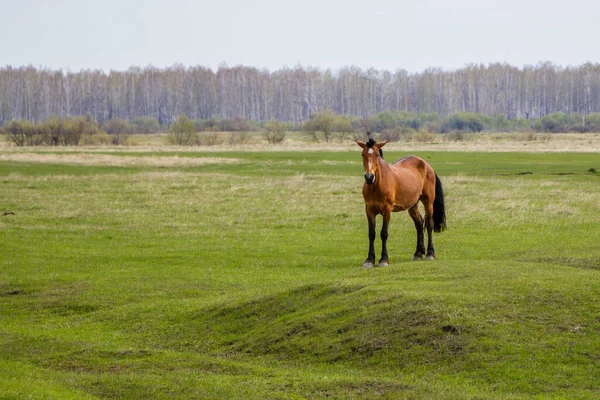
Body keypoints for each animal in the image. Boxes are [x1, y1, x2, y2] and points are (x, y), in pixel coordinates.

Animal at [356, 139, 446, 268]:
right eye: (363, 154)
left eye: (377, 155)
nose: (369, 177)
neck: (376, 185)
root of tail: (427, 166)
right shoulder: (369, 210)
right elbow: (371, 234)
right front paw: (369, 260)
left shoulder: (387, 210)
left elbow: (384, 233)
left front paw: (384, 260)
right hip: (412, 205)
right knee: (419, 224)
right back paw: (418, 253)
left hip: (428, 202)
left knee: (429, 224)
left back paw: (430, 253)